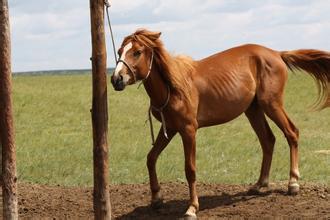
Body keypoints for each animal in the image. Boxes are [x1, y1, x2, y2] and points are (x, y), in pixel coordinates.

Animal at [111, 29, 330, 218]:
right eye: (120, 51)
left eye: (137, 52)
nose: (116, 79)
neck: (173, 86)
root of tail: (277, 53)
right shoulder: (170, 129)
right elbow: (151, 158)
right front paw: (156, 198)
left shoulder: (188, 131)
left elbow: (190, 169)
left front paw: (192, 207)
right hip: (253, 109)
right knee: (268, 140)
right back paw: (260, 184)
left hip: (272, 104)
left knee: (292, 132)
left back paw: (293, 183)